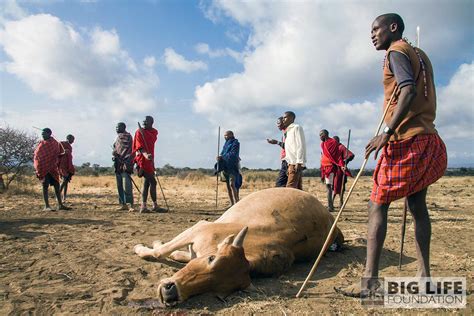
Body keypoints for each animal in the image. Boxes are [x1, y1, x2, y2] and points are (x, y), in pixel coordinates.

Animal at [134, 188, 344, 306]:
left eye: (219, 294)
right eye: (211, 259)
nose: (171, 293)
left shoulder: (199, 231)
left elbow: (163, 252)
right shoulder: (199, 227)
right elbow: (164, 251)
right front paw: (149, 246)